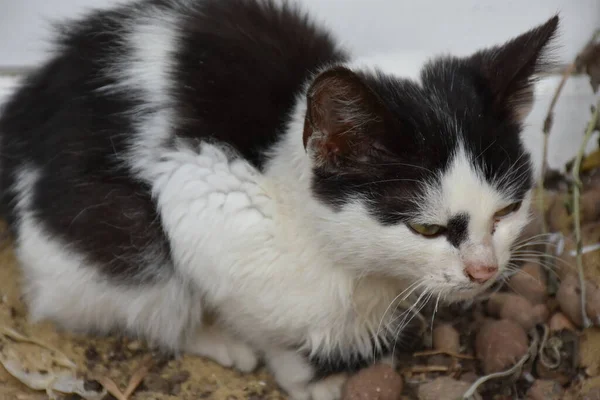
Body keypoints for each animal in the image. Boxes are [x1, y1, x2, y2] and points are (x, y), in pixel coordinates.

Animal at [0, 0, 556, 398]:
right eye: (426, 228)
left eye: (506, 211)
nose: (483, 271)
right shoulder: (200, 191)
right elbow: (265, 315)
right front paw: (307, 375)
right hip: (117, 231)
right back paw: (216, 340)